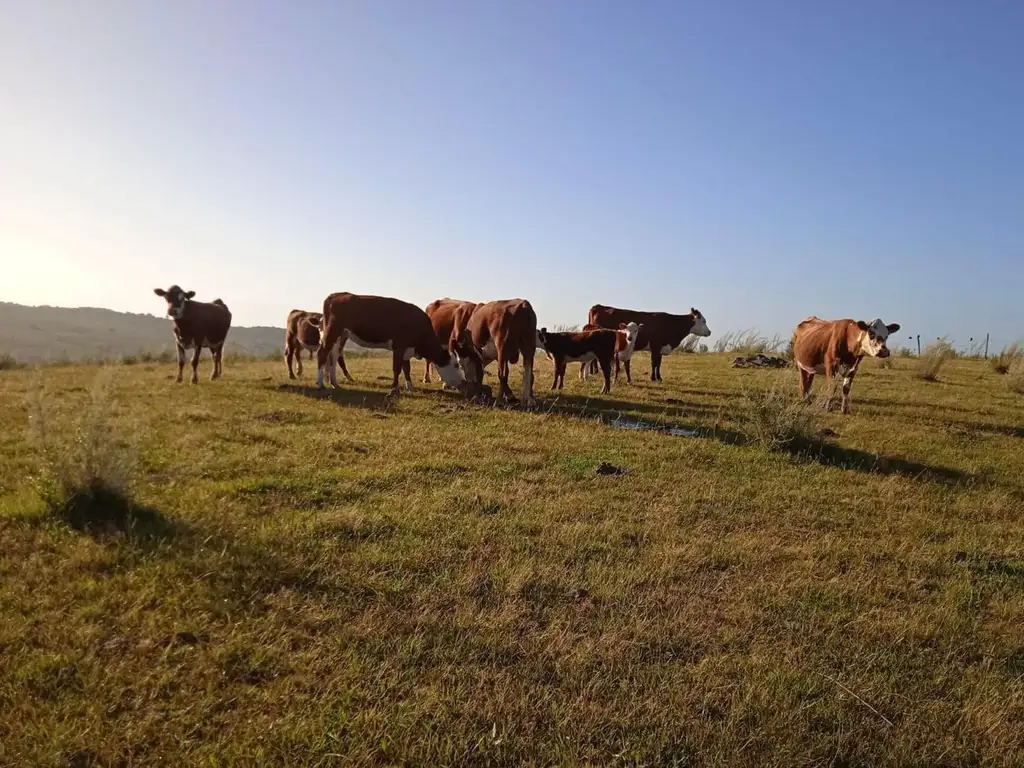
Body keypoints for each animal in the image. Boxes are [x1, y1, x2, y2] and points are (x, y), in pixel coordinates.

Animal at [315, 292, 483, 397]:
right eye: (456, 365)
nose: (463, 382)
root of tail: (335, 295)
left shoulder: (407, 349)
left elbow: (406, 368)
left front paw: (410, 386)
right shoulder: (399, 346)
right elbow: (397, 368)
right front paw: (395, 389)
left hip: (341, 335)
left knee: (333, 356)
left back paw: (335, 383)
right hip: (332, 331)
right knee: (322, 353)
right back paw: (321, 383)